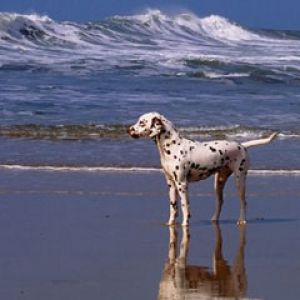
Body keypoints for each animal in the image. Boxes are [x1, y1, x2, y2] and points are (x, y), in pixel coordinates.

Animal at [127, 112, 278, 225]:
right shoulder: (171, 184)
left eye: (142, 122)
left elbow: (185, 207)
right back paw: (214, 220)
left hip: (239, 180)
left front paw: (185, 225)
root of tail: (242, 145)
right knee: (220, 202)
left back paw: (242, 220)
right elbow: (173, 208)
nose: (128, 129)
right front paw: (170, 224)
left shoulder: (182, 184)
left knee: (243, 202)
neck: (173, 146)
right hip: (218, 182)